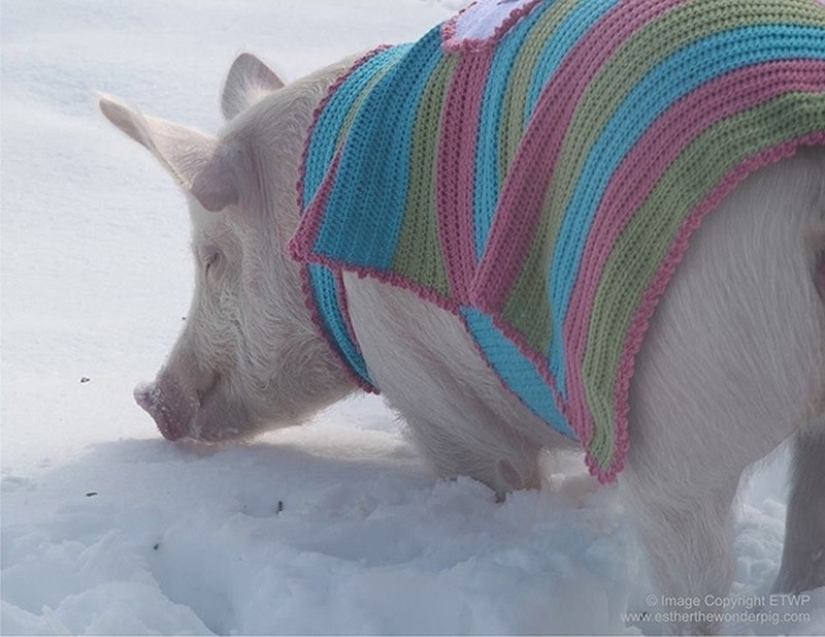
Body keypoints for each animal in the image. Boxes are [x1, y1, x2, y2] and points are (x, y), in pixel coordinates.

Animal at [100, 12, 825, 636]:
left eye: (212, 256)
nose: (151, 397)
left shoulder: (426, 381)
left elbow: (497, 475)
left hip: (684, 399)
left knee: (695, 573)